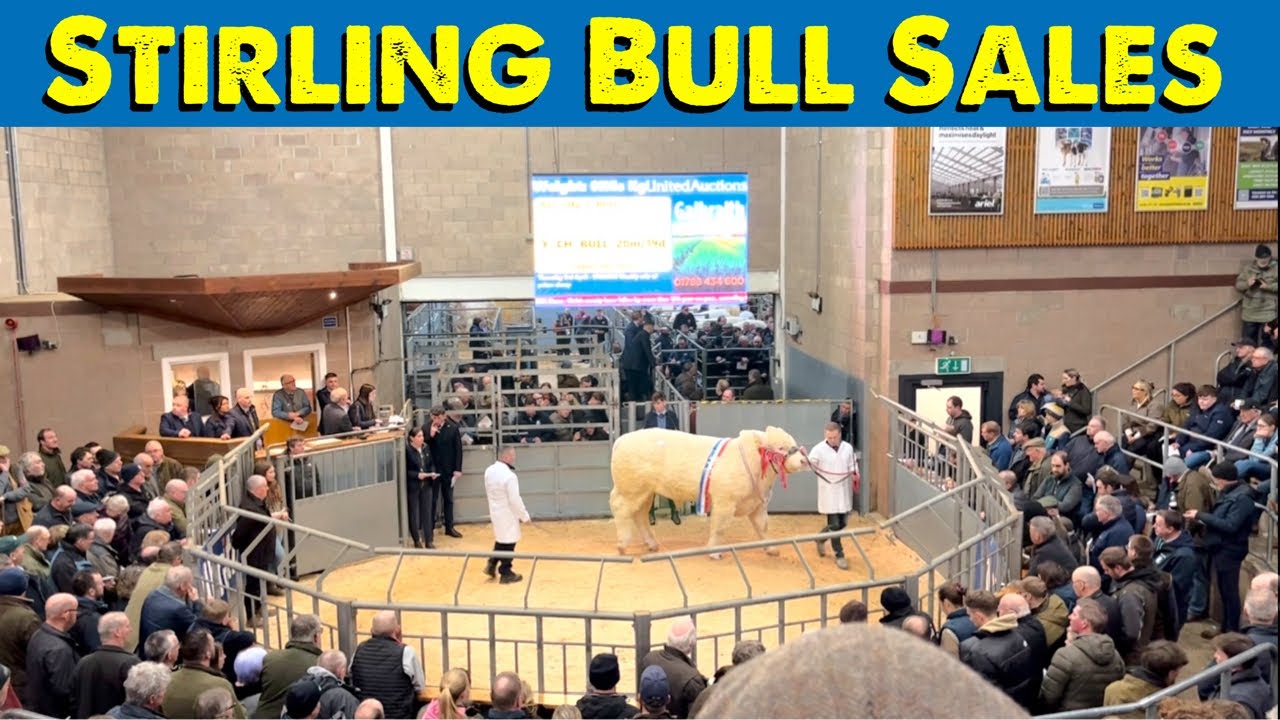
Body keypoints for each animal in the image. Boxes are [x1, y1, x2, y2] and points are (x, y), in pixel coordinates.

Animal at [609, 426, 809, 558]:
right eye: (780, 447)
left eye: (793, 443)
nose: (804, 460)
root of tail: (621, 440)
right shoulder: (725, 502)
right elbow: (719, 527)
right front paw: (714, 552)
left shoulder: (757, 504)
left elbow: (763, 527)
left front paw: (772, 549)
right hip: (631, 488)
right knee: (620, 507)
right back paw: (622, 545)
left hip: (646, 492)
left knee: (640, 515)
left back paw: (651, 544)